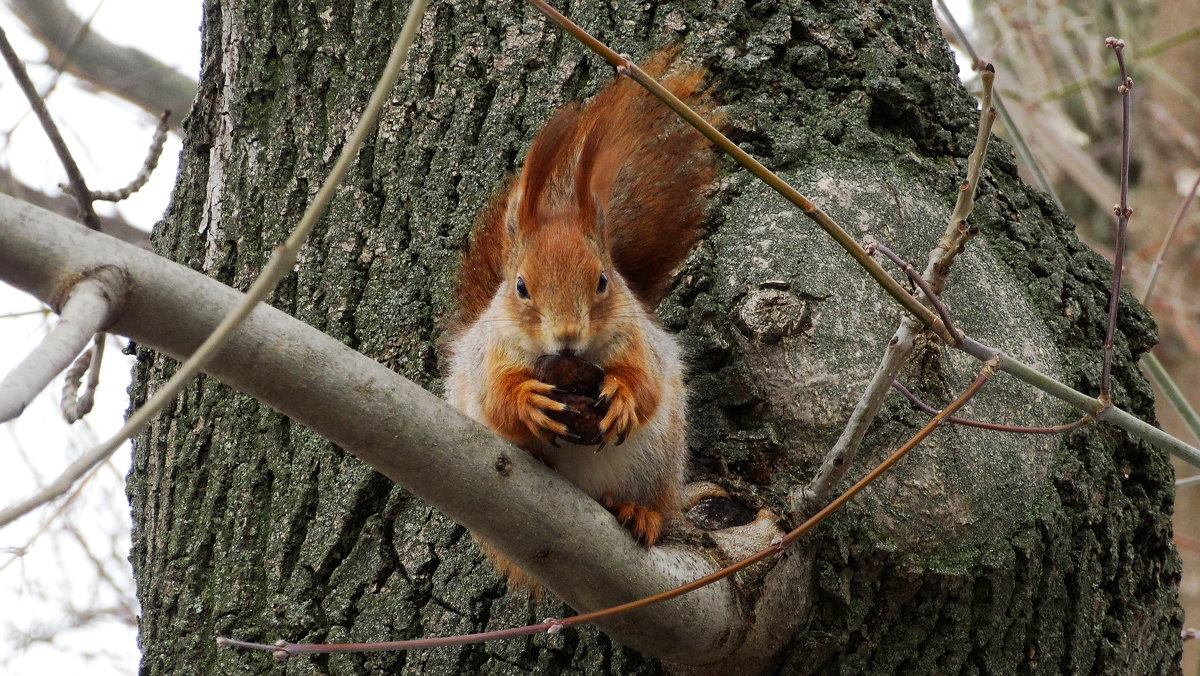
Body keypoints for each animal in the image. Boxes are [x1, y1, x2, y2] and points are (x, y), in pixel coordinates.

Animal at [444, 50, 715, 583]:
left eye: (604, 281)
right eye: (520, 287)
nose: (567, 335)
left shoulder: (638, 340)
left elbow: (646, 384)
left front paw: (624, 397)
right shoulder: (490, 352)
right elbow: (496, 397)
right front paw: (527, 400)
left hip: (657, 463)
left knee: (652, 500)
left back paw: (638, 512)